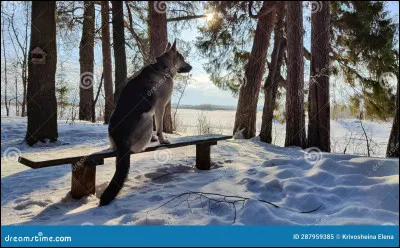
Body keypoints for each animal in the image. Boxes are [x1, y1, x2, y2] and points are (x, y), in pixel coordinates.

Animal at [101, 39, 193, 205]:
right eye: (182, 58)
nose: (191, 67)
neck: (162, 68)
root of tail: (120, 139)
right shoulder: (160, 107)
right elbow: (160, 127)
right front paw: (162, 139)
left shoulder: (155, 110)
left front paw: (156, 138)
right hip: (146, 119)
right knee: (137, 147)